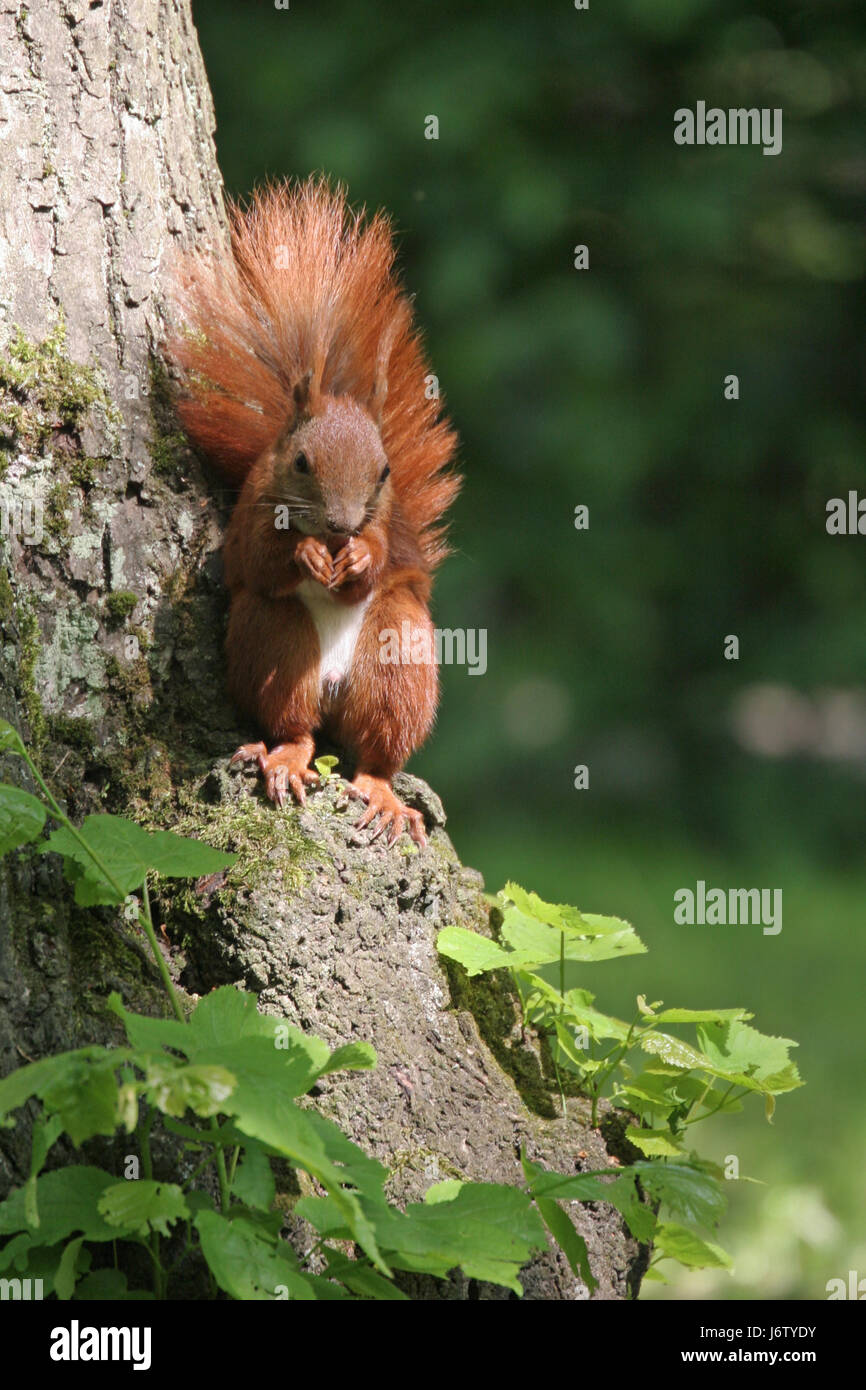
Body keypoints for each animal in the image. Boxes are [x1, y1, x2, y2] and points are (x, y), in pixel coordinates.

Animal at [171, 176, 464, 845]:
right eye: (302, 462)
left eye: (385, 472)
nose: (340, 525)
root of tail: (330, 686)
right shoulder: (252, 515)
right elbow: (259, 557)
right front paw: (302, 553)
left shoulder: (388, 525)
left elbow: (379, 557)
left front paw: (356, 559)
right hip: (270, 636)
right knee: (295, 724)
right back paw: (285, 757)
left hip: (399, 652)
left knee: (378, 751)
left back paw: (382, 795)